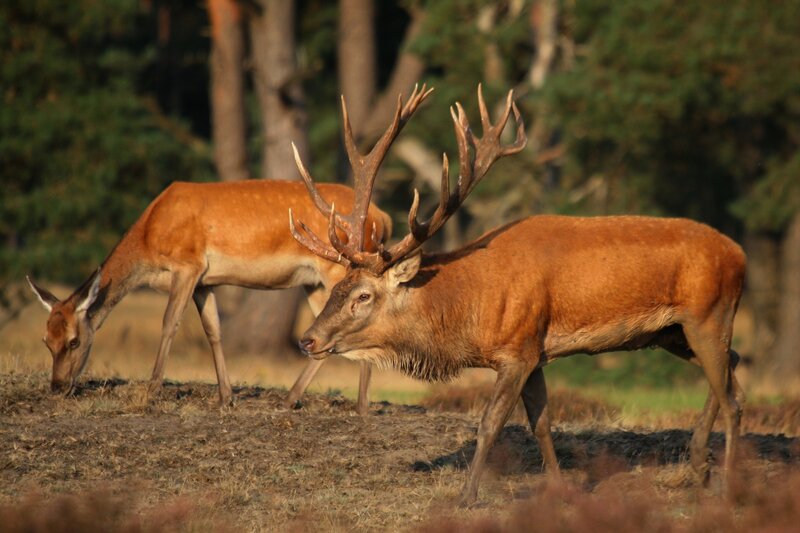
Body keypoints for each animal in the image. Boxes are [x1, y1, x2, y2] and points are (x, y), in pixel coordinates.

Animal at [25, 177, 393, 412]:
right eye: (46, 340)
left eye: (74, 340)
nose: (57, 386)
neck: (150, 238)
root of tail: (383, 217)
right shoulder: (205, 281)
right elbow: (213, 330)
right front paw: (225, 397)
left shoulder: (187, 264)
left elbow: (169, 322)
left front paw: (152, 390)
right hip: (314, 281)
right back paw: (292, 399)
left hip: (337, 268)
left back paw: (359, 405)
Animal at [289, 85, 746, 505]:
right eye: (338, 287)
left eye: (363, 296)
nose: (307, 339)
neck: (471, 311)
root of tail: (740, 255)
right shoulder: (535, 350)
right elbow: (541, 422)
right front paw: (560, 489)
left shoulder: (516, 350)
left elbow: (490, 423)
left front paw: (466, 496)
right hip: (673, 332)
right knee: (733, 371)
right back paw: (699, 467)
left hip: (708, 314)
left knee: (731, 396)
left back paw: (728, 488)